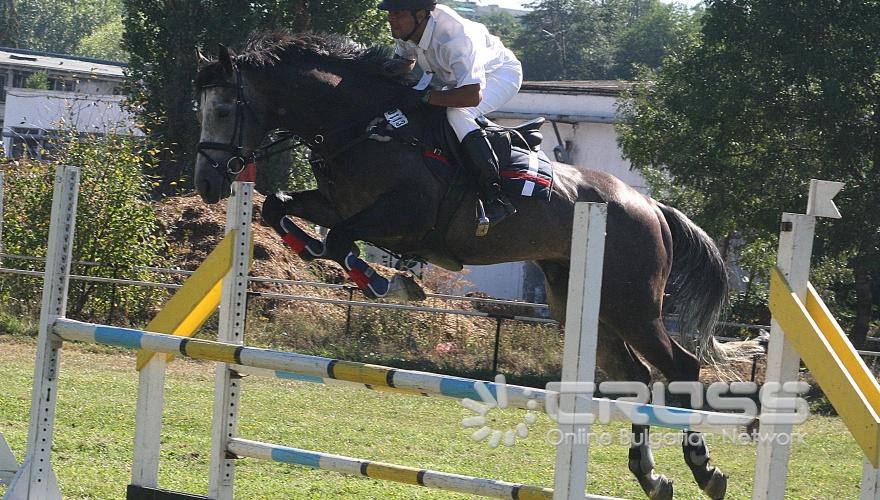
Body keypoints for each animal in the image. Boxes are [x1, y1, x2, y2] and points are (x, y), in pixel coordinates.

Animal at [192, 32, 744, 500]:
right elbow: (278, 207)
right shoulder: (335, 203)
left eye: (223, 108)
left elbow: (342, 239)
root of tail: (651, 206)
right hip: (583, 305)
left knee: (680, 367)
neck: (360, 127)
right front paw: (333, 261)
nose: (207, 184)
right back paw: (650, 476)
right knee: (636, 376)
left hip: (633, 305)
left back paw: (704, 470)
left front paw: (387, 283)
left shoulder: (404, 217)